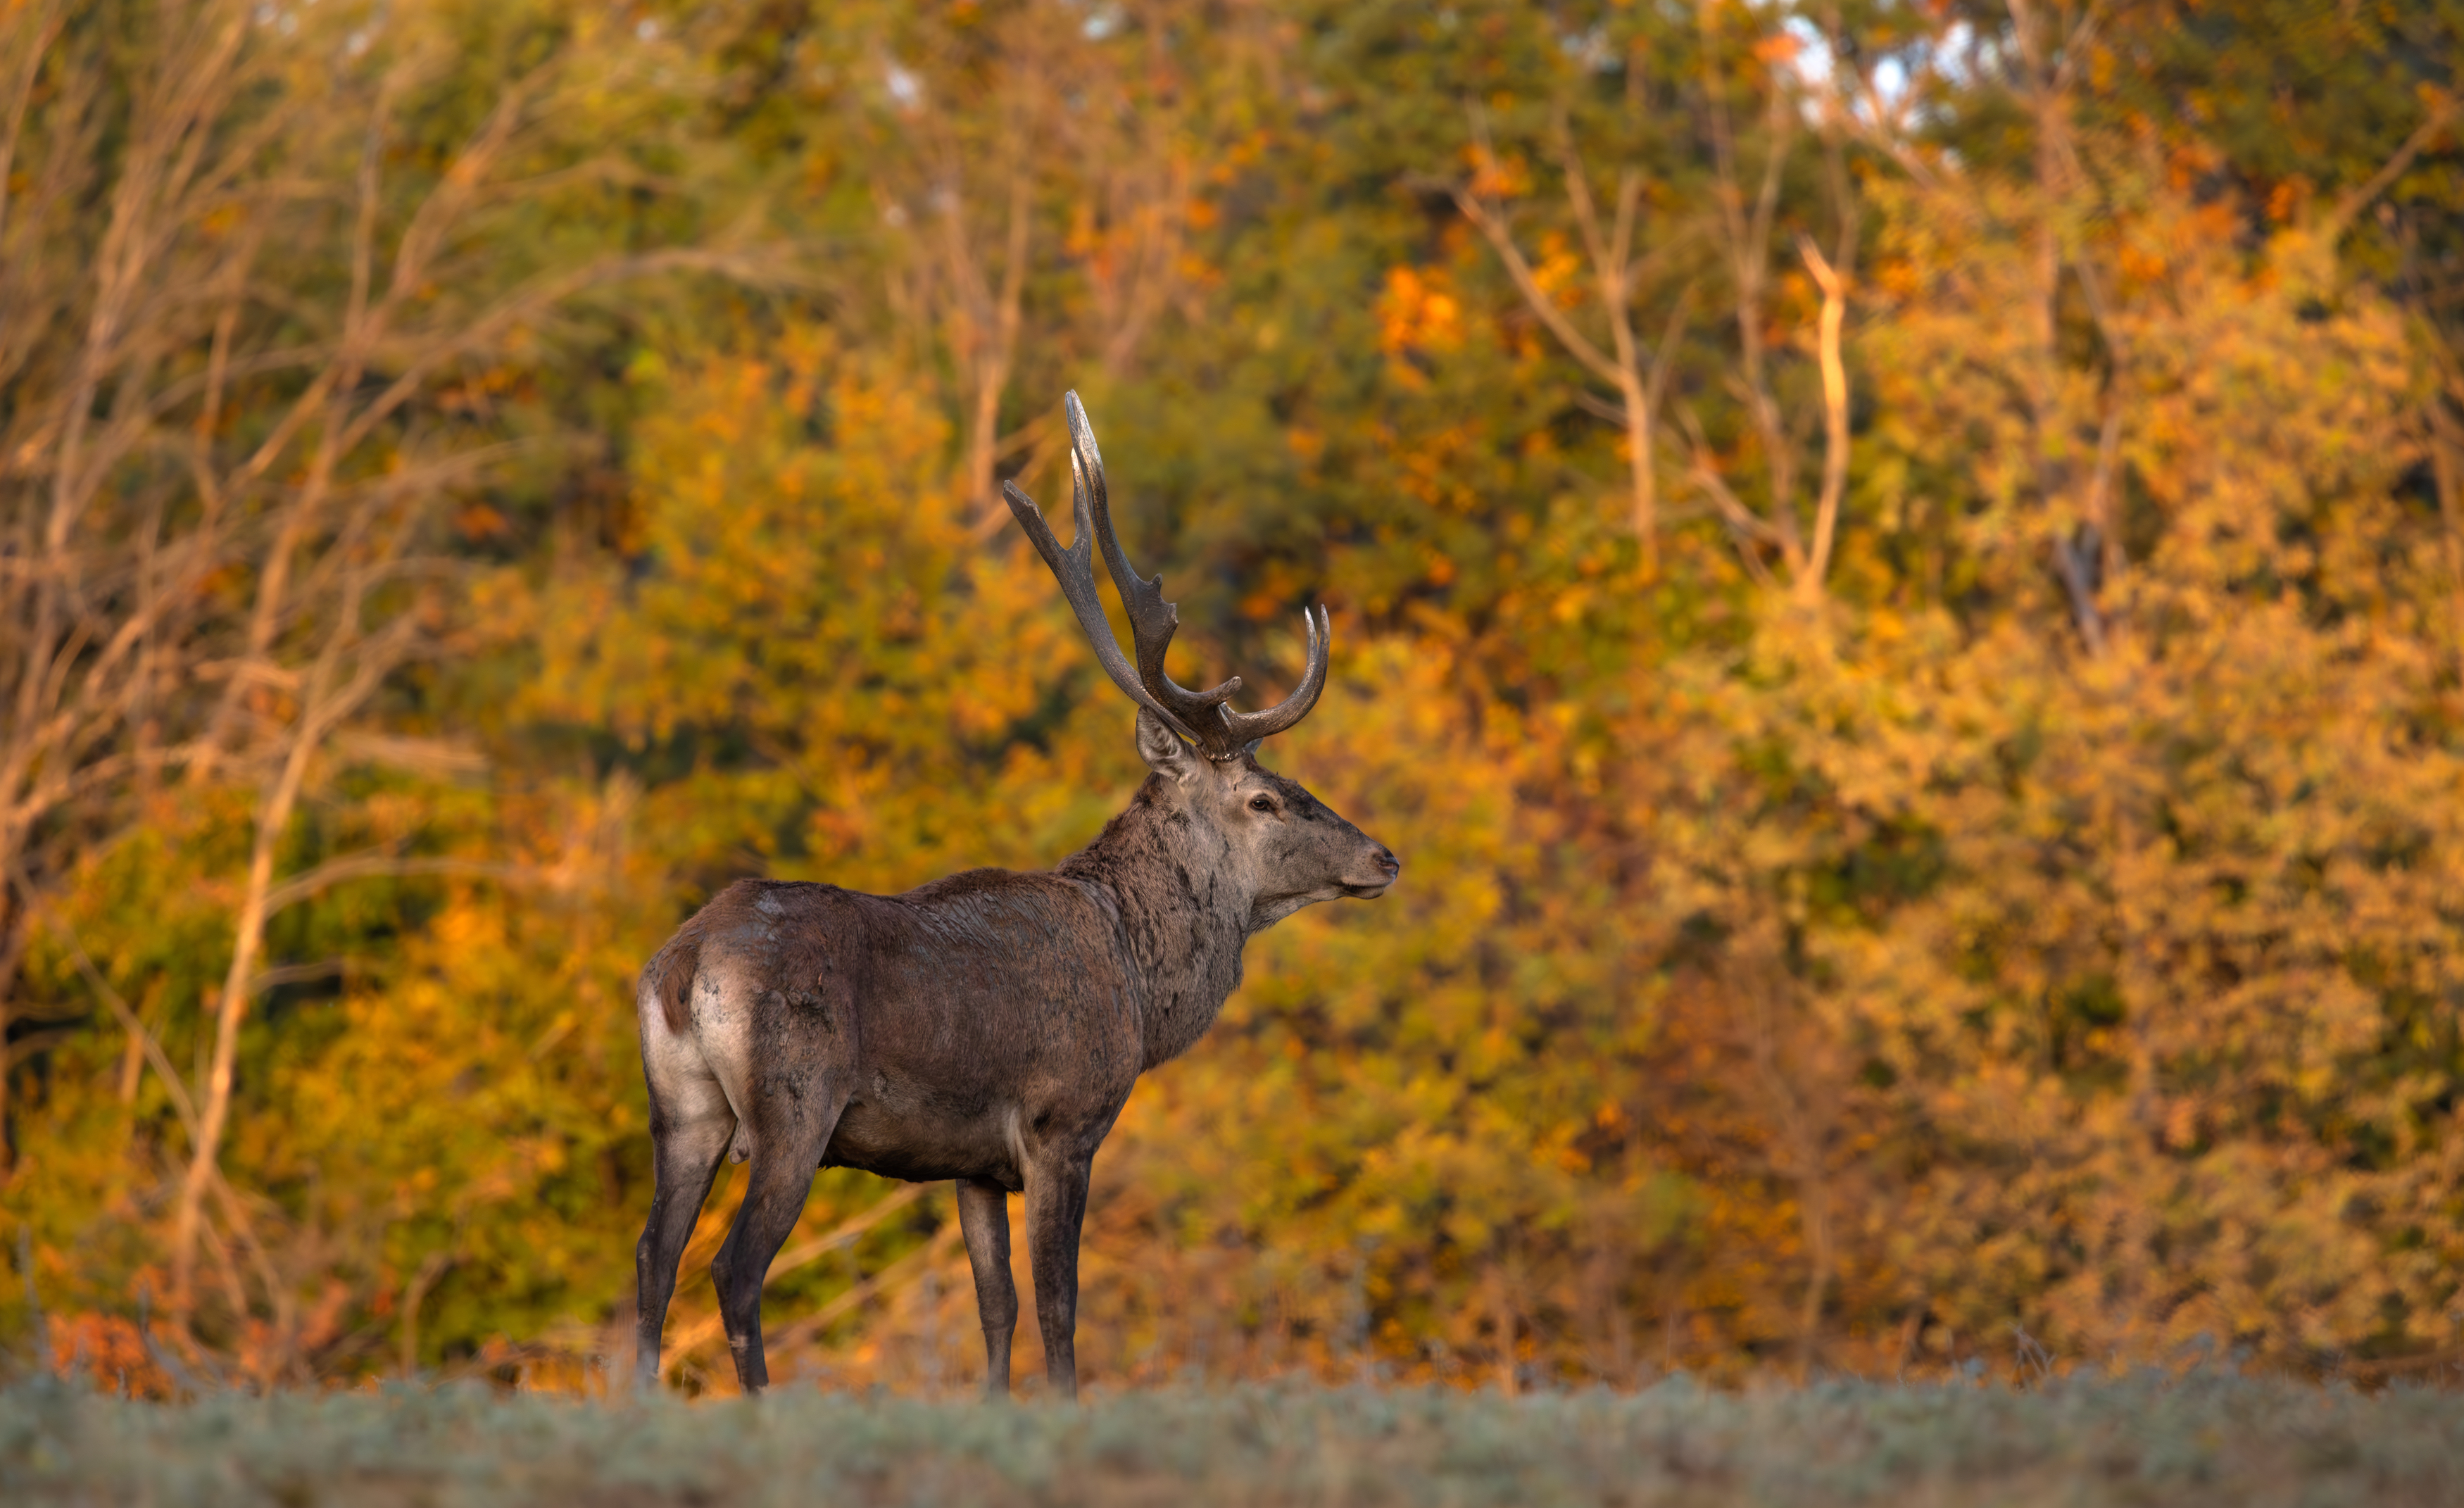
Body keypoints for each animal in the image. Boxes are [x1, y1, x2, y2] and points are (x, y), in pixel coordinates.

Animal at [631, 391, 1409, 1400]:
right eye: (1264, 798)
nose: (1383, 857)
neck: (1140, 984)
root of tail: (681, 968)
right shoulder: (1061, 1122)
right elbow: (1058, 1311)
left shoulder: (969, 1163)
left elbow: (994, 1309)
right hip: (791, 1104)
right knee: (733, 1267)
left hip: (680, 1110)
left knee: (652, 1260)